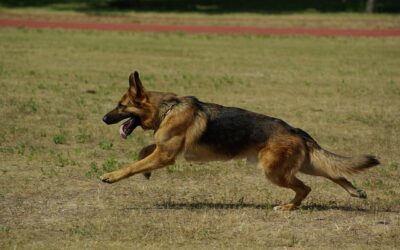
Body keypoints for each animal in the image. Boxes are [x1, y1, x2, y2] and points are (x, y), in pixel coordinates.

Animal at [101, 71, 380, 210]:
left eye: (121, 106)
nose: (103, 118)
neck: (167, 108)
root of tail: (295, 130)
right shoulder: (163, 150)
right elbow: (144, 152)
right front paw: (146, 172)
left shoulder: (165, 155)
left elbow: (134, 165)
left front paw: (112, 176)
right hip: (303, 165)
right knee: (334, 172)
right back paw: (355, 191)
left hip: (275, 171)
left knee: (306, 188)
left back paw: (288, 207)